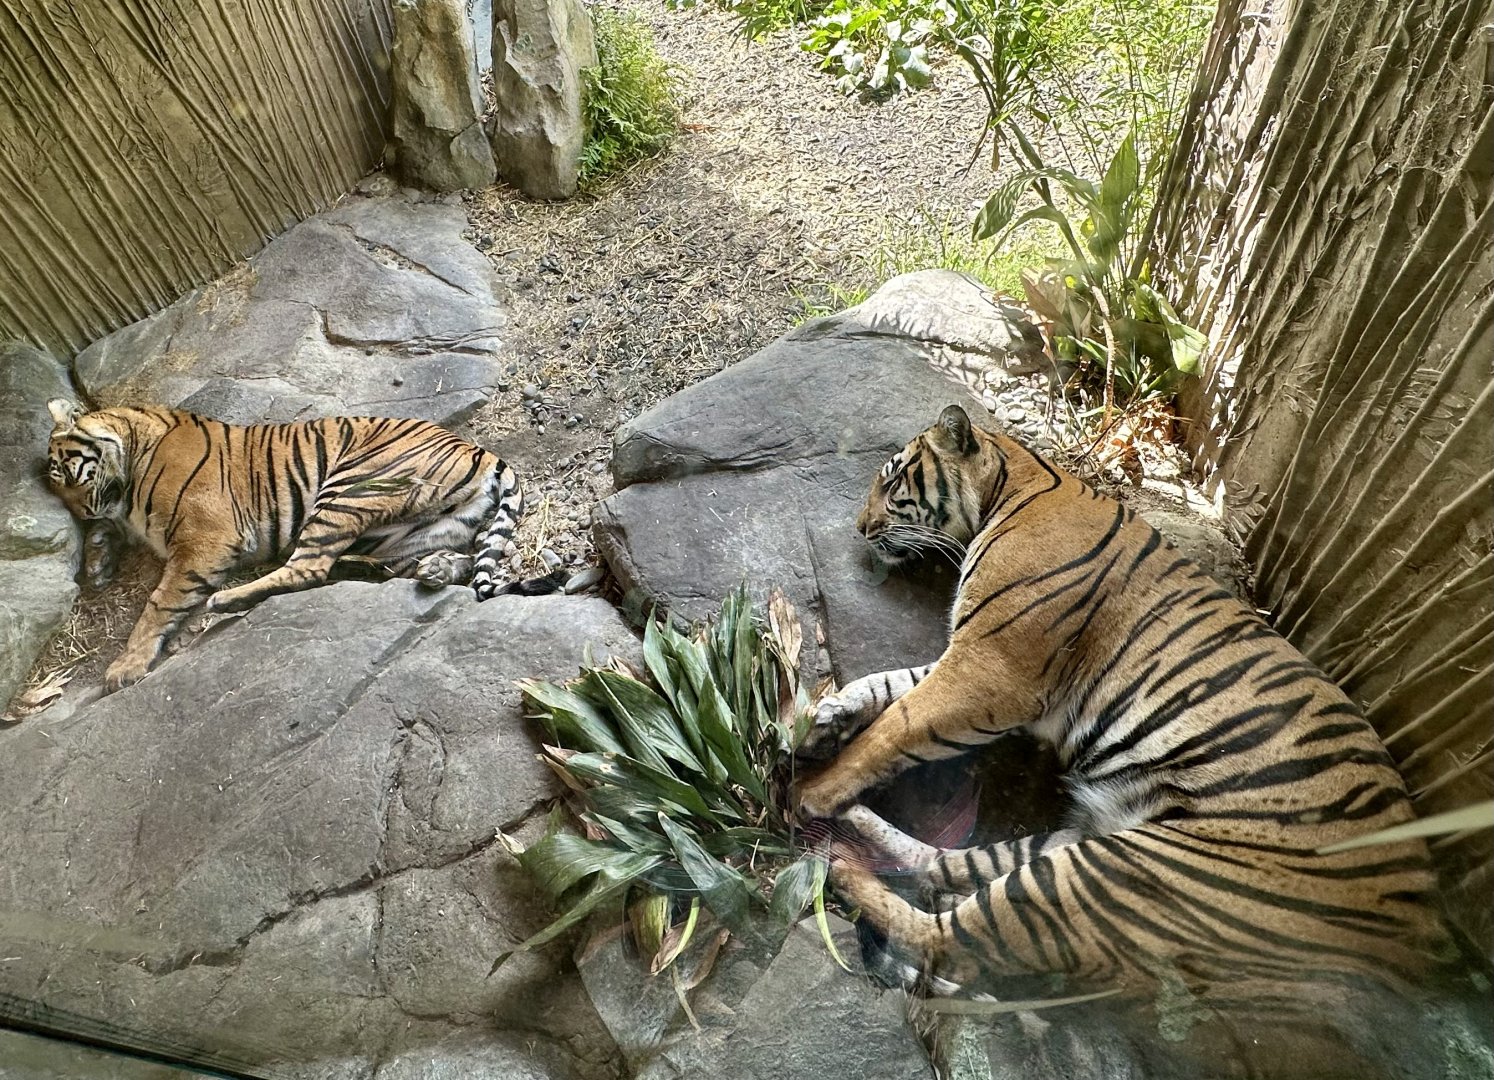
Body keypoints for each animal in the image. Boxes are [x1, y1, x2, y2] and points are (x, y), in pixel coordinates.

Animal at [46, 400, 525, 693]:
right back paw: (433, 570)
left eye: (66, 475)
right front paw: (96, 561)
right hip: (413, 531)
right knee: (444, 561)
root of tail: (478, 450)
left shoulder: (205, 537)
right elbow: (113, 532)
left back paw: (226, 601)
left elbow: (159, 603)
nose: (81, 513)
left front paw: (124, 666)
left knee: (308, 567)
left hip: (351, 485)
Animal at [794, 403, 1450, 1011]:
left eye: (893, 483)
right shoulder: (977, 658)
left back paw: (838, 868)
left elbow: (897, 724)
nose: (860, 528)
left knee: (942, 937)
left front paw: (819, 787)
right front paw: (824, 719)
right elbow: (891, 684)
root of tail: (1416, 935)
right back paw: (850, 831)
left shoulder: (994, 670)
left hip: (1130, 872)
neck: (1011, 485)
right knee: (944, 867)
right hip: (1082, 845)